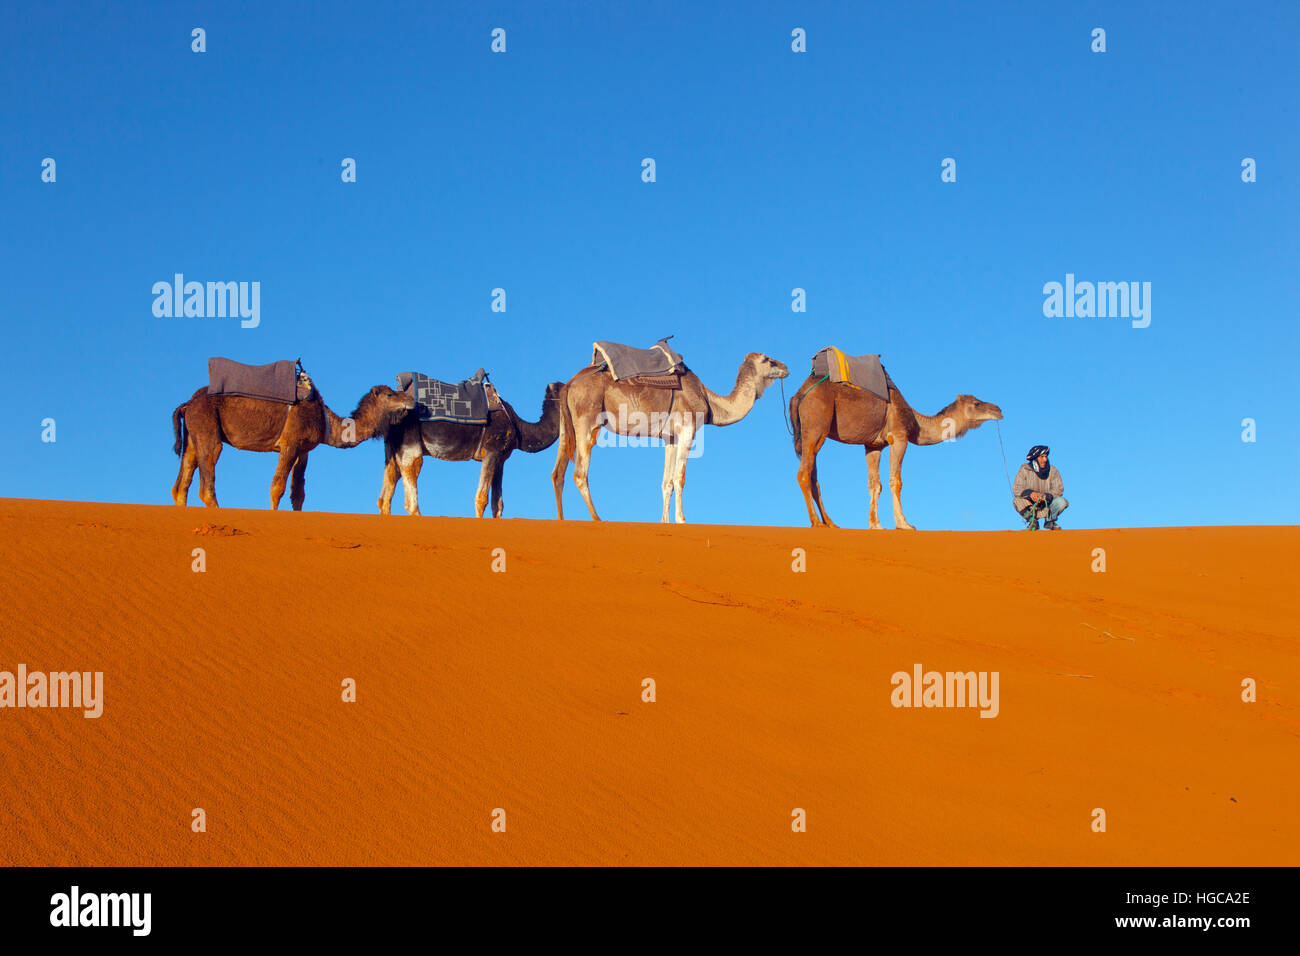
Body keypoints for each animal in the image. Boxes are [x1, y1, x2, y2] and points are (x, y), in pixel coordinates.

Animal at [169, 377, 410, 512]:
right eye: (390, 394)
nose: (410, 400)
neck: (325, 421)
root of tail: (189, 403)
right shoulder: (290, 443)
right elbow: (278, 486)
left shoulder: (303, 450)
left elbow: (298, 492)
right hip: (207, 426)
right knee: (207, 478)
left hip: (194, 434)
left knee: (182, 481)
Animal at [374, 382, 561, 520]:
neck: (518, 426)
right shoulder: (491, 451)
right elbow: (482, 498)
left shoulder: (500, 459)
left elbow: (498, 505)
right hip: (410, 443)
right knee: (411, 475)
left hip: (391, 448)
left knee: (386, 491)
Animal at [553, 353, 785, 522]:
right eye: (767, 359)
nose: (786, 368)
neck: (708, 400)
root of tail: (570, 384)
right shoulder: (687, 429)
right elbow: (679, 478)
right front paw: (682, 520)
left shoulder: (670, 437)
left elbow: (667, 482)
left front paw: (665, 522)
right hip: (587, 419)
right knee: (580, 473)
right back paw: (598, 519)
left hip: (566, 424)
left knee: (558, 473)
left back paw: (561, 520)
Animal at [780, 374, 1003, 530]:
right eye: (977, 403)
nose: (998, 410)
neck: (915, 422)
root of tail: (798, 395)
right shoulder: (899, 437)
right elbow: (896, 481)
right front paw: (905, 524)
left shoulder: (873, 445)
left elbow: (874, 485)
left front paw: (875, 525)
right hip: (816, 426)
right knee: (803, 473)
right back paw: (816, 523)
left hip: (814, 434)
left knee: (813, 476)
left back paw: (831, 523)